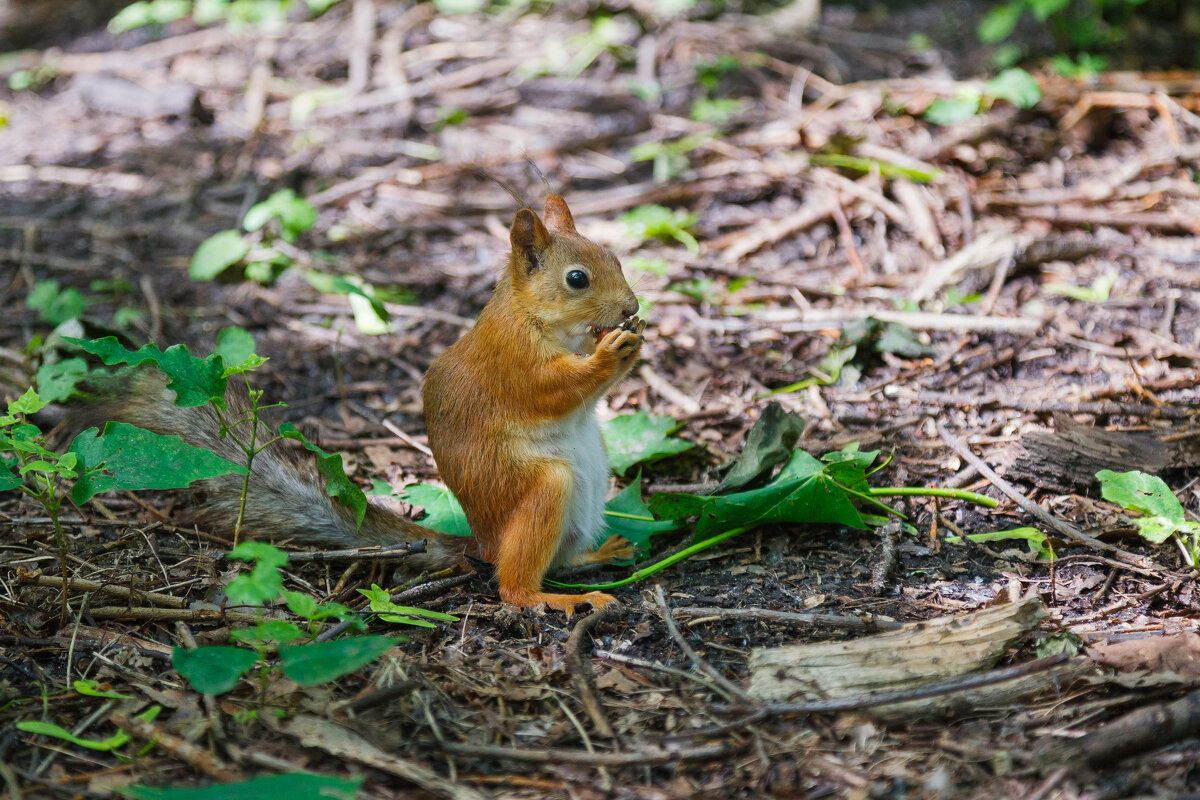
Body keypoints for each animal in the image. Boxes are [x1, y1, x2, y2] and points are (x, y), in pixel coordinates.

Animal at [98, 194, 643, 614]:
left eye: (616, 259)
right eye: (577, 279)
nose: (632, 307)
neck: (536, 317)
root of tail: (483, 542)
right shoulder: (512, 362)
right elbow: (552, 389)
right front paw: (611, 351)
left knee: (560, 560)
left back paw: (598, 556)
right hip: (545, 492)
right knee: (512, 585)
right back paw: (557, 598)